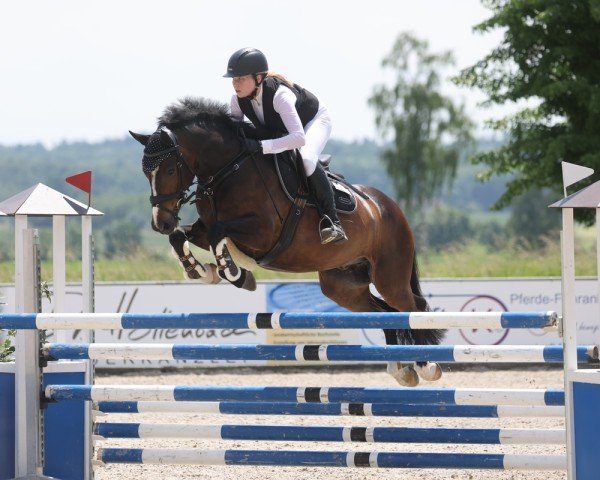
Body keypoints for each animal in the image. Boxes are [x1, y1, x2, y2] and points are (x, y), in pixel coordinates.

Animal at [130, 96, 446, 386]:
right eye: (145, 172)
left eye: (170, 170)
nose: (160, 223)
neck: (228, 169)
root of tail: (390, 207)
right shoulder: (204, 229)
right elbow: (181, 236)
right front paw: (201, 271)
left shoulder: (262, 232)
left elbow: (220, 232)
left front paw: (233, 272)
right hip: (343, 285)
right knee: (384, 313)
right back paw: (401, 369)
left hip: (389, 276)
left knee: (411, 306)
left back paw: (426, 366)